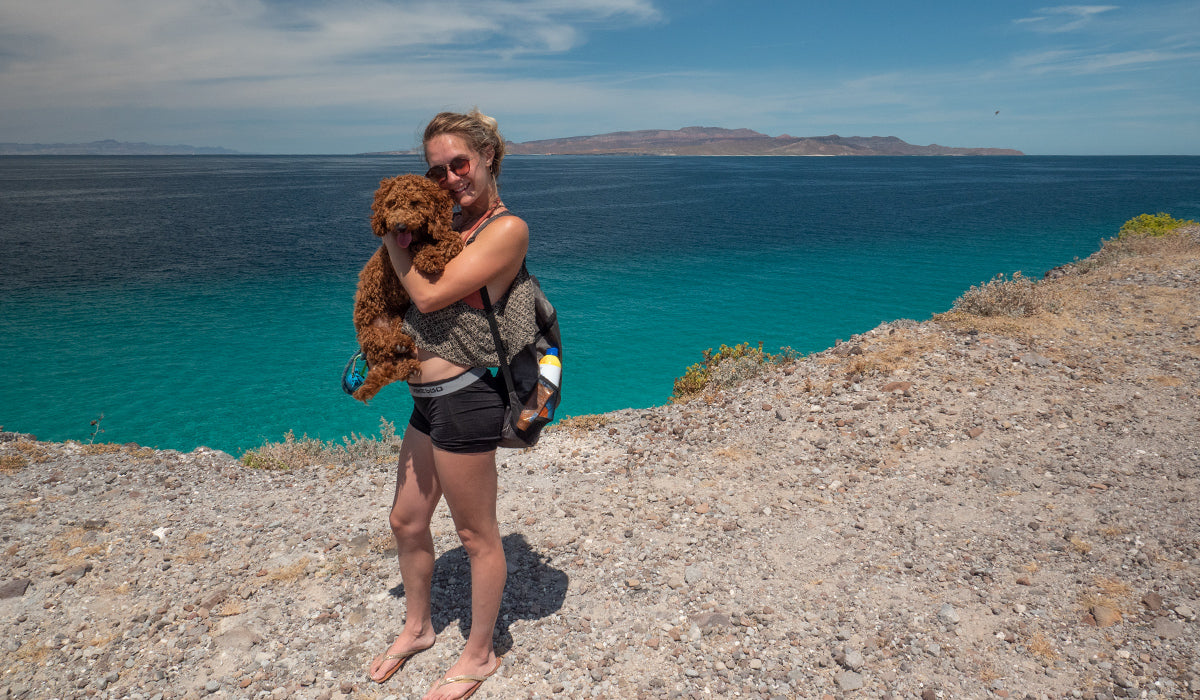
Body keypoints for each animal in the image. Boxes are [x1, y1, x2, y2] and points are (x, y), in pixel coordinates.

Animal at [352, 174, 460, 401]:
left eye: (415, 203)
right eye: (391, 203)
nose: (400, 226)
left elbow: (452, 237)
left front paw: (444, 246)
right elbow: (420, 247)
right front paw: (430, 257)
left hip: (397, 320)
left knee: (394, 364)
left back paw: (405, 356)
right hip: (371, 334)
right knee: (387, 355)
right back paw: (400, 347)